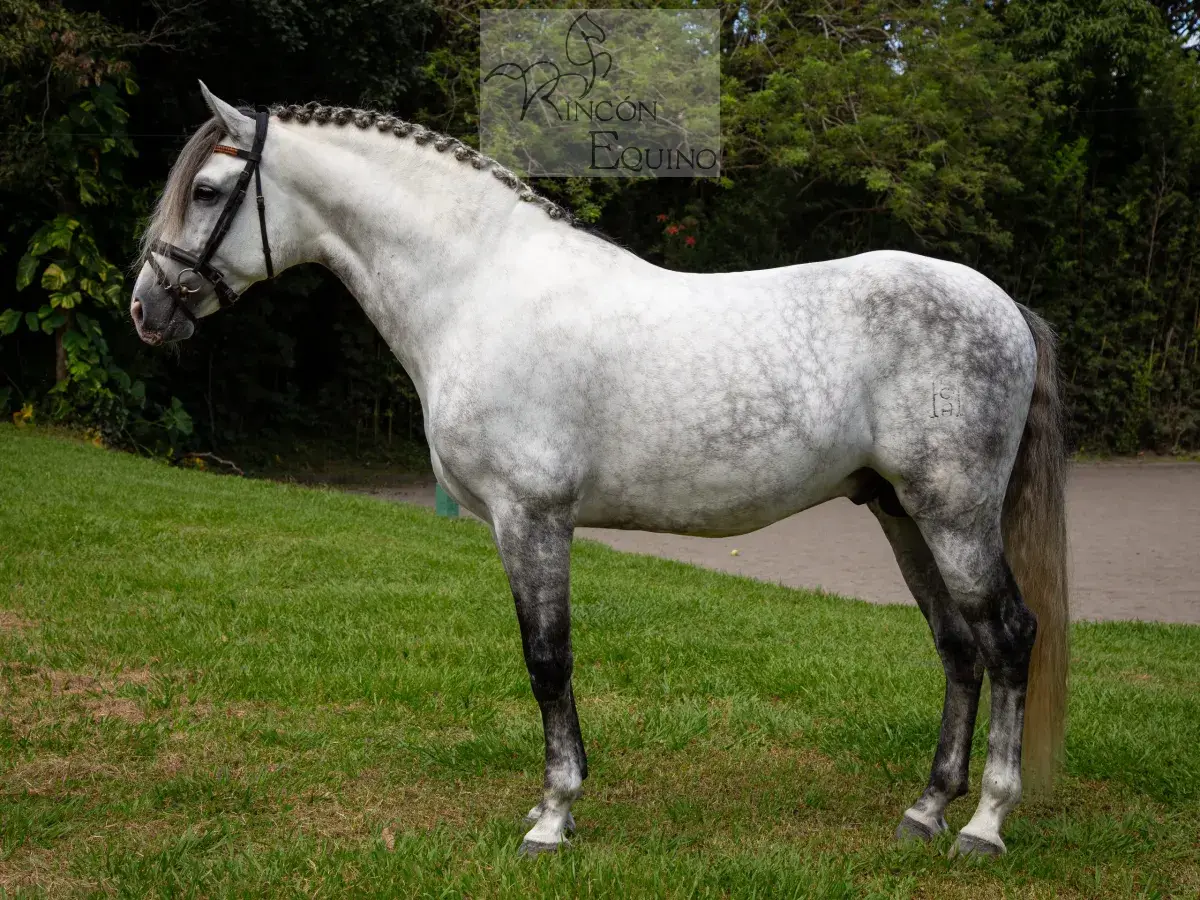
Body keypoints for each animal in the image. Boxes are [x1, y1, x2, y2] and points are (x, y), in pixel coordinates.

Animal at [130, 84, 1069, 858]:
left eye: (206, 191)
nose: (145, 308)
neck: (478, 289)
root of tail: (1001, 303)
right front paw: (557, 804)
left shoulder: (532, 516)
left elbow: (547, 659)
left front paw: (553, 816)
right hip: (902, 512)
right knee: (958, 648)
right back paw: (925, 810)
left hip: (953, 513)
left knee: (1008, 637)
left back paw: (984, 824)